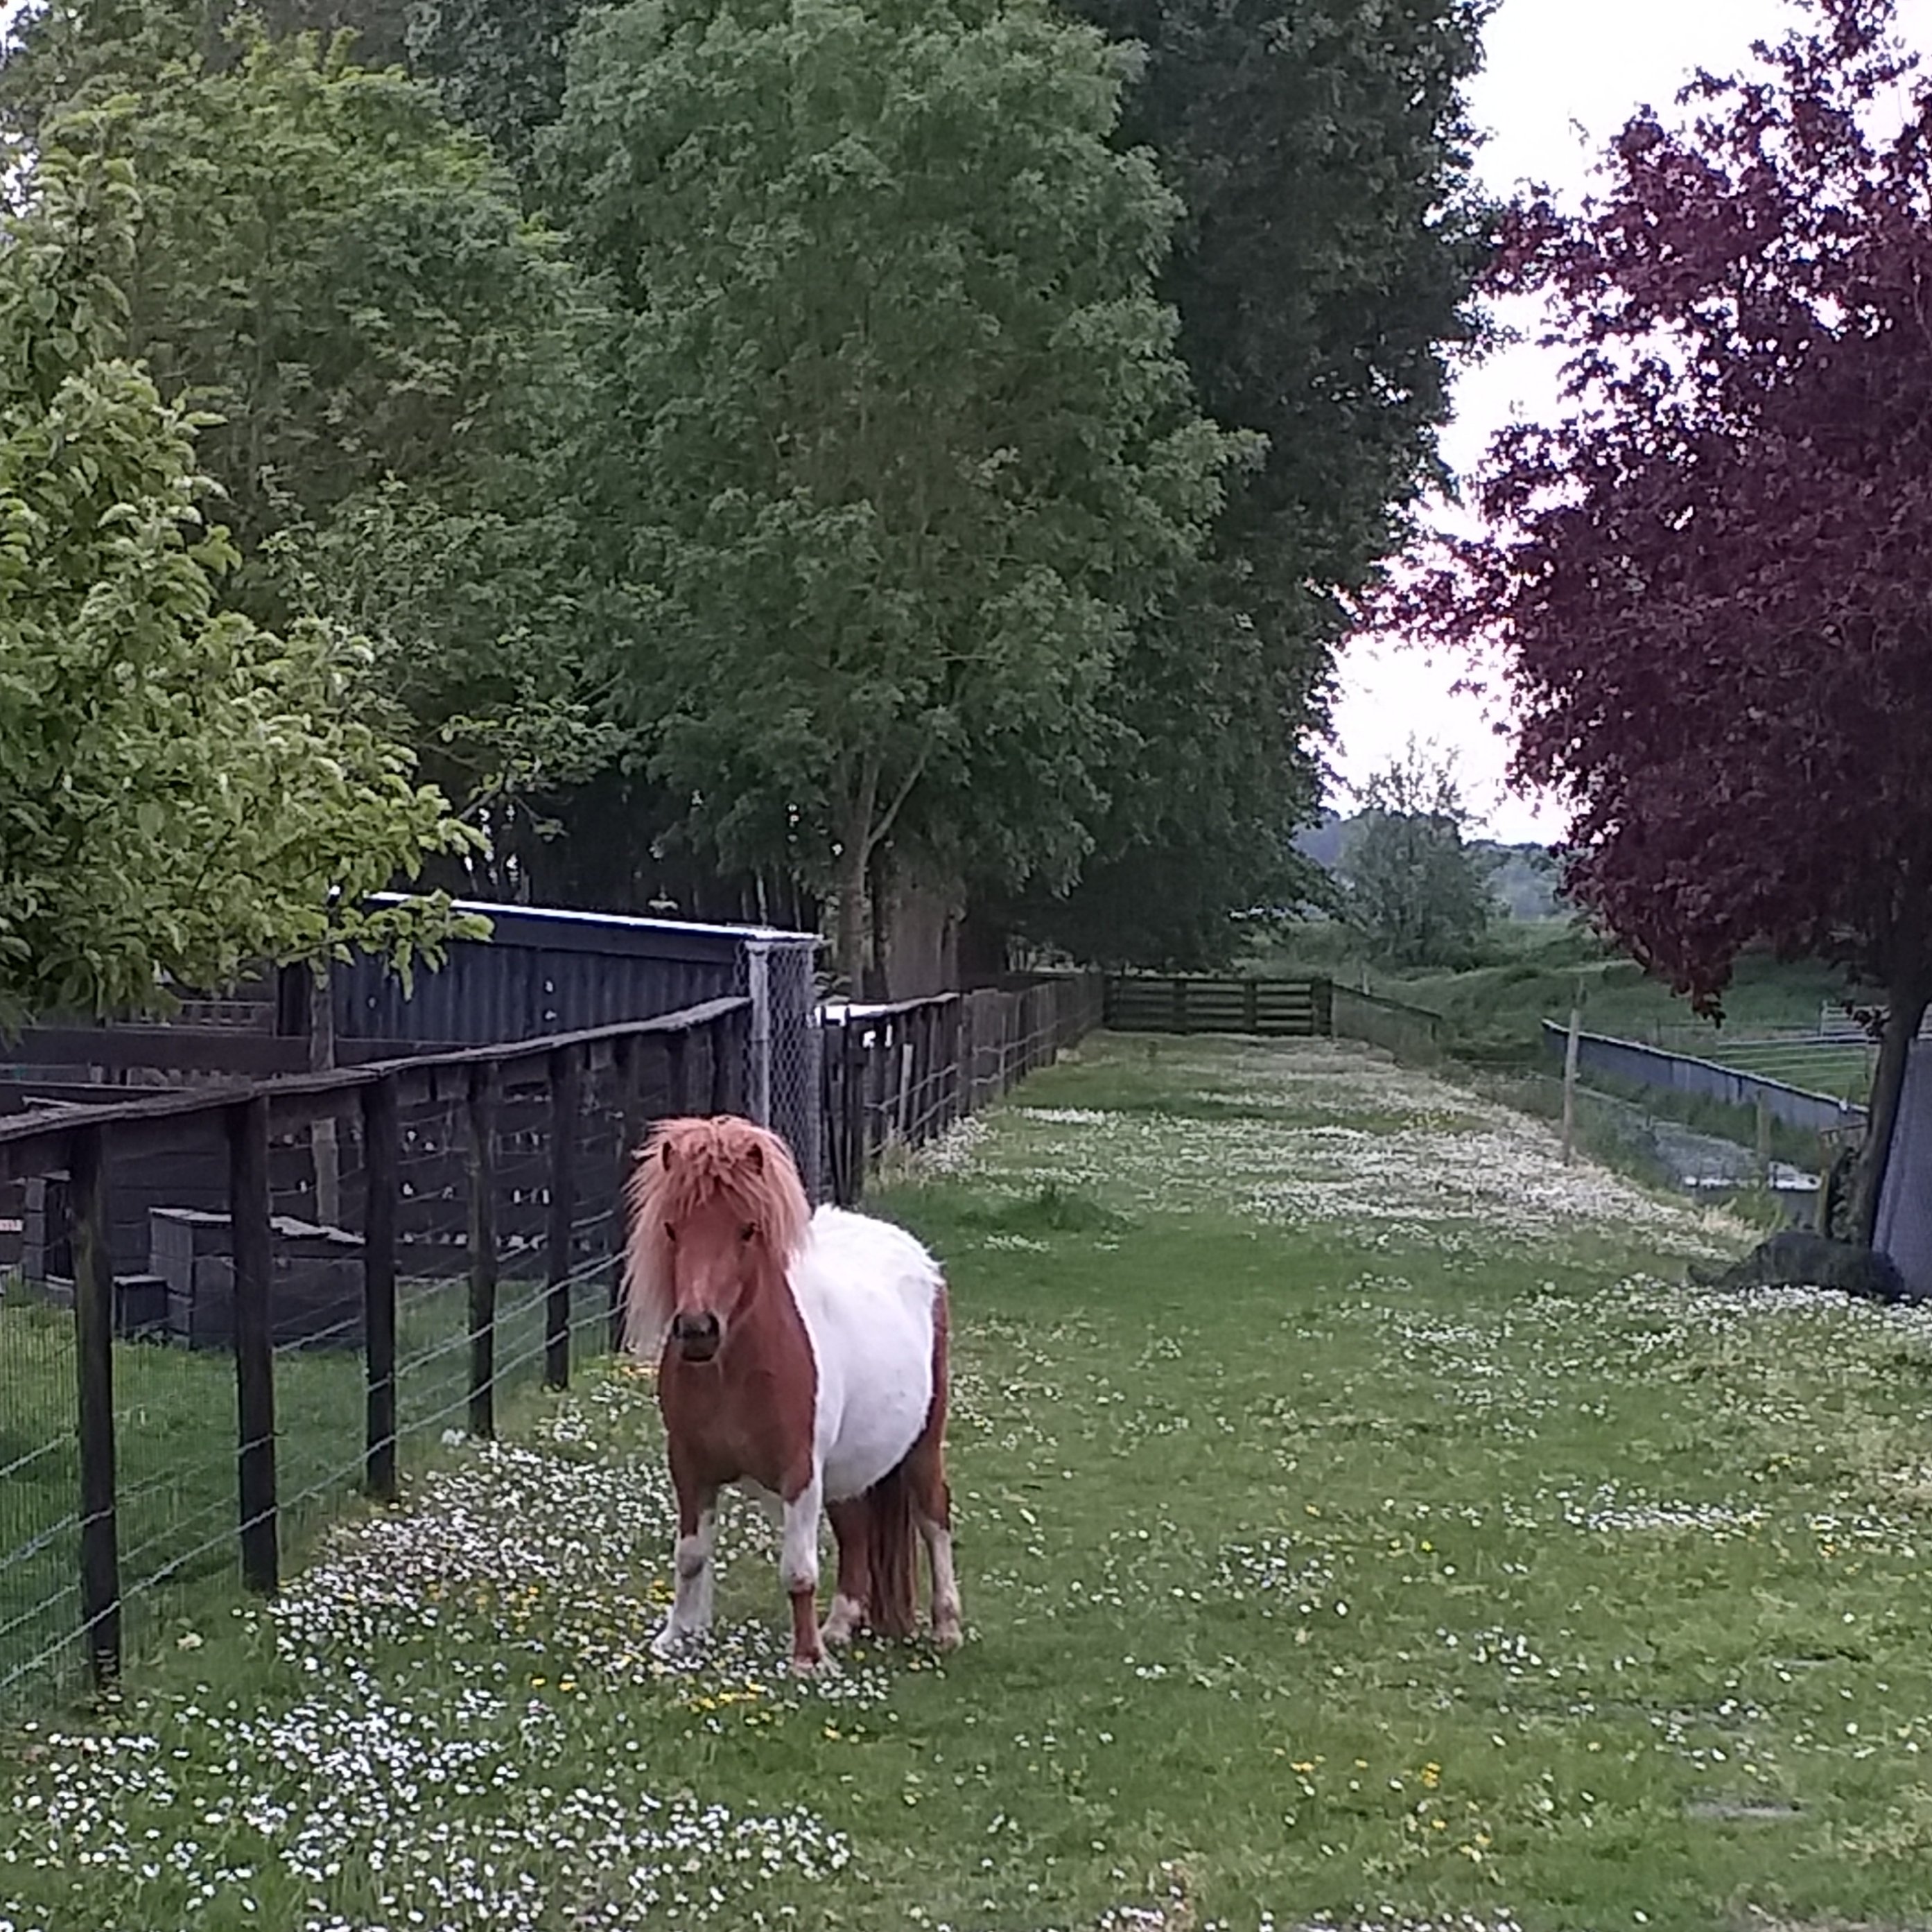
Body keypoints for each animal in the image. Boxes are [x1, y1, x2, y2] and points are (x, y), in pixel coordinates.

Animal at [621, 1114, 963, 1674]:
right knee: (856, 1531)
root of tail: (919, 1259)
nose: (697, 1330)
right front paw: (676, 1639)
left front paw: (806, 1660)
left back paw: (946, 1626)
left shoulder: (799, 1472)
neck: (733, 1372)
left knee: (934, 1516)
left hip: (922, 1446)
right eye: (671, 1228)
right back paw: (841, 1625)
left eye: (747, 1229)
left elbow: (798, 1569)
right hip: (847, 1468)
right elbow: (690, 1557)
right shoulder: (689, 1468)